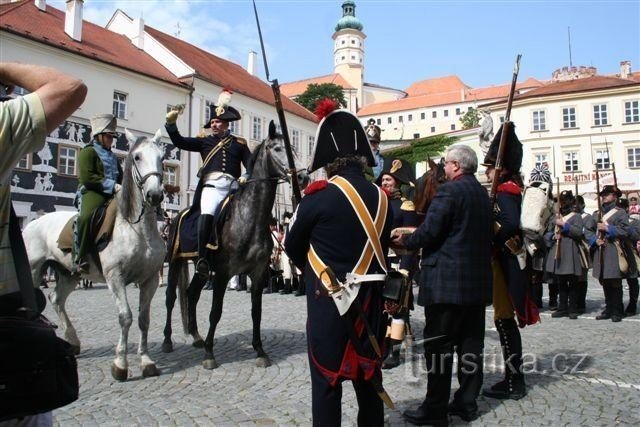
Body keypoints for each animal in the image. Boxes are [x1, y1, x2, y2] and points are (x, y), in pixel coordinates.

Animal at [23, 130, 166, 382]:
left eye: (162, 158)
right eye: (137, 157)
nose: (155, 195)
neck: (136, 228)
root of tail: (33, 223)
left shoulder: (149, 280)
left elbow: (143, 319)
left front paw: (147, 361)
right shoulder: (115, 277)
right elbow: (126, 316)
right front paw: (120, 364)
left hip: (69, 274)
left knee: (57, 300)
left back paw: (73, 341)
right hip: (33, 270)